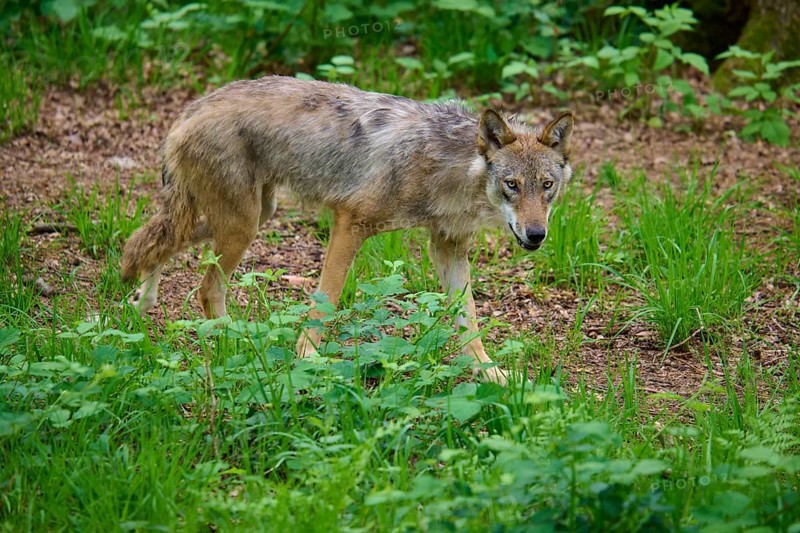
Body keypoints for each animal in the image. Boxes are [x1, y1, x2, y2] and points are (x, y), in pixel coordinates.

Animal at [121, 75, 574, 384]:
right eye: (512, 184)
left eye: (546, 186)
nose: (536, 235)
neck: (451, 168)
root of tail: (192, 107)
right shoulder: (349, 223)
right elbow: (326, 302)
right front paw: (308, 360)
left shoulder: (449, 249)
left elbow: (470, 322)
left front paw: (492, 374)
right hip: (243, 225)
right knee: (204, 285)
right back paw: (238, 339)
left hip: (253, 216)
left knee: (152, 242)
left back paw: (142, 300)